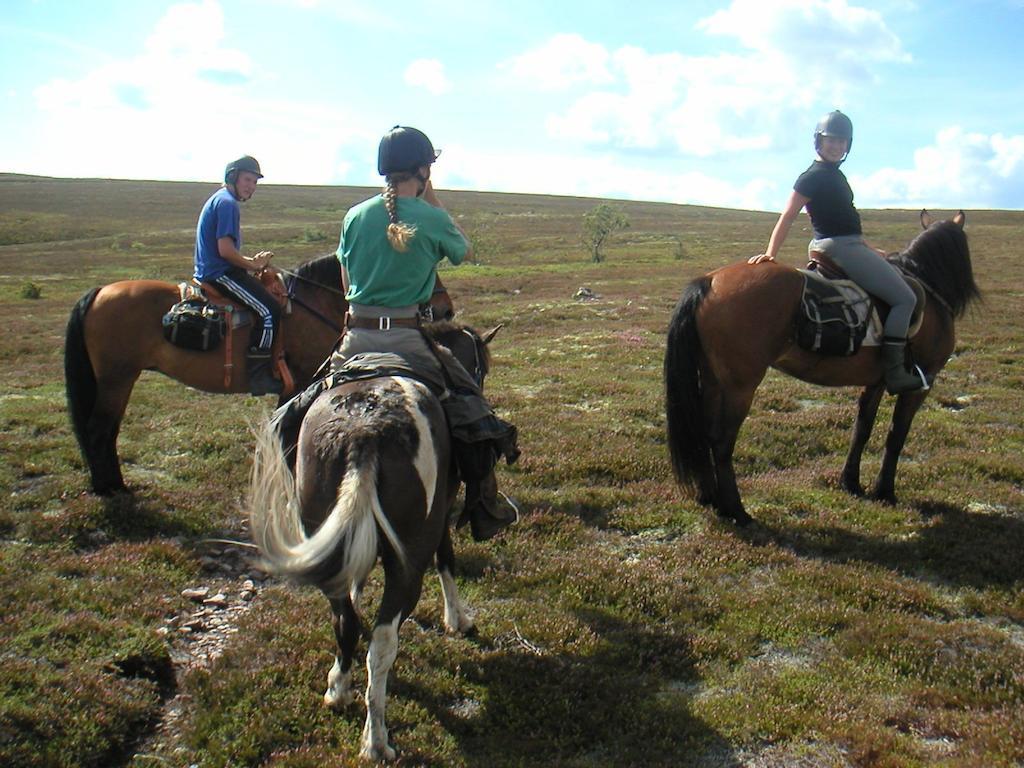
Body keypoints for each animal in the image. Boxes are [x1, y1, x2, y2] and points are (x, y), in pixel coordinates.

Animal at [59, 252, 452, 493]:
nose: (445, 308)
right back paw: (110, 489)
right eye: (421, 270)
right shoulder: (300, 382)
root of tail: (100, 292)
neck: (314, 303)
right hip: (116, 378)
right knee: (99, 430)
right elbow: (289, 436)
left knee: (106, 431)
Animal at [243, 319, 491, 765]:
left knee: (345, 620)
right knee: (382, 640)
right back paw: (376, 740)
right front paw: (458, 619)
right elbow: (446, 558)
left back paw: (337, 690)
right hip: (407, 561)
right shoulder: (442, 512)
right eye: (480, 367)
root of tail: (364, 430)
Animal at [667, 210, 978, 528]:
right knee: (721, 441)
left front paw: (851, 483)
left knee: (705, 433)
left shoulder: (876, 382)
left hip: (713, 380)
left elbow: (862, 429)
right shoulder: (923, 380)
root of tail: (710, 281)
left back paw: (710, 498)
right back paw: (736, 511)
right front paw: (885, 491)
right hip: (740, 387)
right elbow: (896, 435)